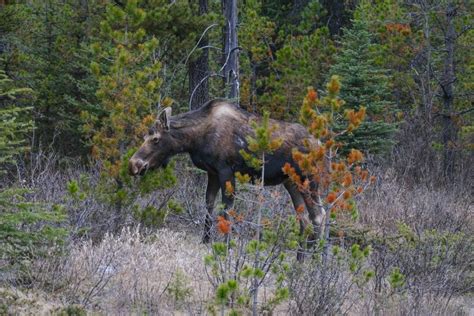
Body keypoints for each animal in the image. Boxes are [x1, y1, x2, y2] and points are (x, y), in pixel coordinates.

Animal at [128, 100, 324, 246]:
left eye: (155, 139)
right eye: (144, 137)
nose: (133, 165)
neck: (195, 140)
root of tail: (321, 145)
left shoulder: (226, 170)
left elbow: (226, 210)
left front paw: (226, 243)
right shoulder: (212, 172)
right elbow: (209, 204)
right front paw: (205, 240)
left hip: (309, 180)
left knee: (318, 216)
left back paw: (313, 259)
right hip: (291, 182)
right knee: (304, 219)